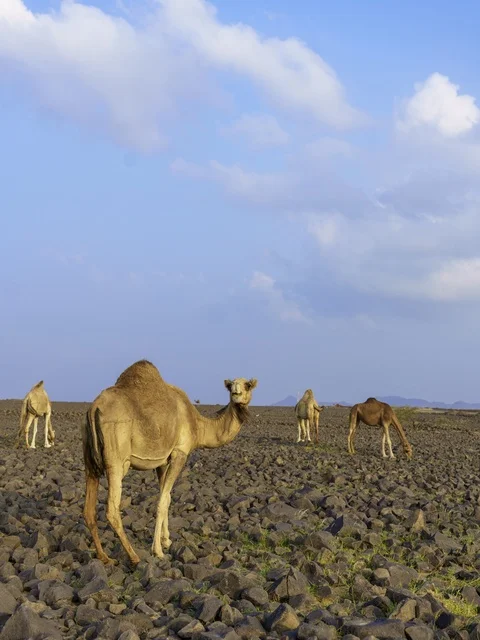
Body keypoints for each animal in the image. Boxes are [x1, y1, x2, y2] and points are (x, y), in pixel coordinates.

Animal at [82, 360, 257, 565]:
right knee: (111, 509)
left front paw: (166, 540)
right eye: (231, 386)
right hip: (116, 461)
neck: (198, 425)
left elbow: (167, 497)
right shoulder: (179, 453)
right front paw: (158, 550)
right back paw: (134, 556)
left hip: (89, 460)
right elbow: (162, 501)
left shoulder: (162, 461)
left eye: (247, 385)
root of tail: (94, 408)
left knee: (88, 509)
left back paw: (104, 557)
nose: (237, 394)